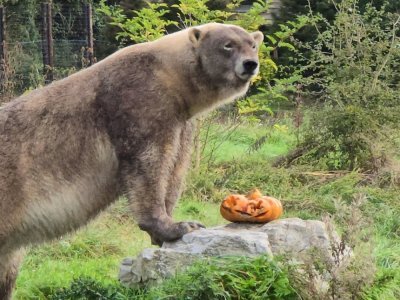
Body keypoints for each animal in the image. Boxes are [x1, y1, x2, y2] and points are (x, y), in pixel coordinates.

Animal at [0, 22, 264, 298]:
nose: (250, 64)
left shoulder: (181, 119)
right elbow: (148, 164)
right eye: (228, 45)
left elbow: (176, 168)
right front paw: (179, 226)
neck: (168, 72)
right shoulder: (139, 99)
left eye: (253, 44)